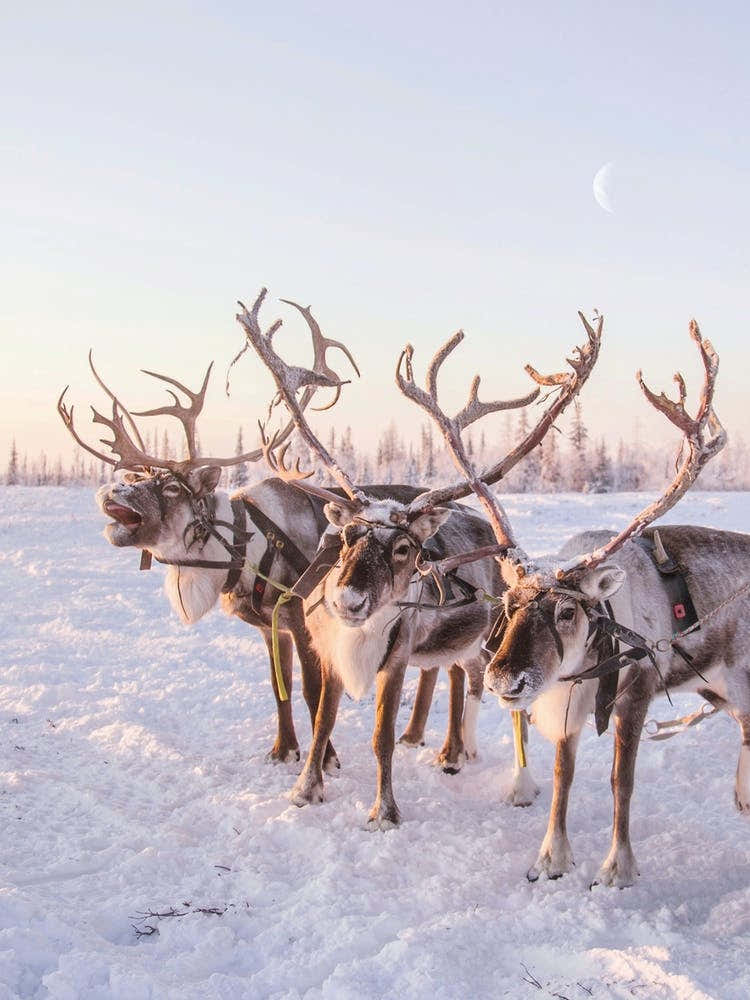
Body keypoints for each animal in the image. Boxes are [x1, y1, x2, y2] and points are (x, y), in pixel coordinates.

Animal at [57, 290, 469, 773]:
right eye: (138, 478)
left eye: (173, 487)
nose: (109, 491)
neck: (243, 550)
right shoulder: (269, 627)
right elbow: (278, 689)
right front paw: (283, 748)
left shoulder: (302, 623)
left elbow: (311, 692)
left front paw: (326, 758)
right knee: (434, 665)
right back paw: (412, 734)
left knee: (455, 666)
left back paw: (450, 748)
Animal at [236, 298, 603, 828]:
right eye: (344, 537)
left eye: (403, 548)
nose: (348, 601)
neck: (359, 639)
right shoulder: (328, 653)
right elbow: (323, 721)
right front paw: (306, 789)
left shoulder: (396, 659)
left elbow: (380, 738)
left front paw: (384, 810)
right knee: (459, 675)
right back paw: (454, 750)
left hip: (498, 634)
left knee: (496, 692)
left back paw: (513, 779)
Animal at [417, 318, 734, 887]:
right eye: (507, 606)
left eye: (567, 612)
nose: (505, 680)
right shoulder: (564, 700)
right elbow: (563, 776)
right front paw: (552, 857)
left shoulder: (636, 693)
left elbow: (620, 780)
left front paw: (618, 867)